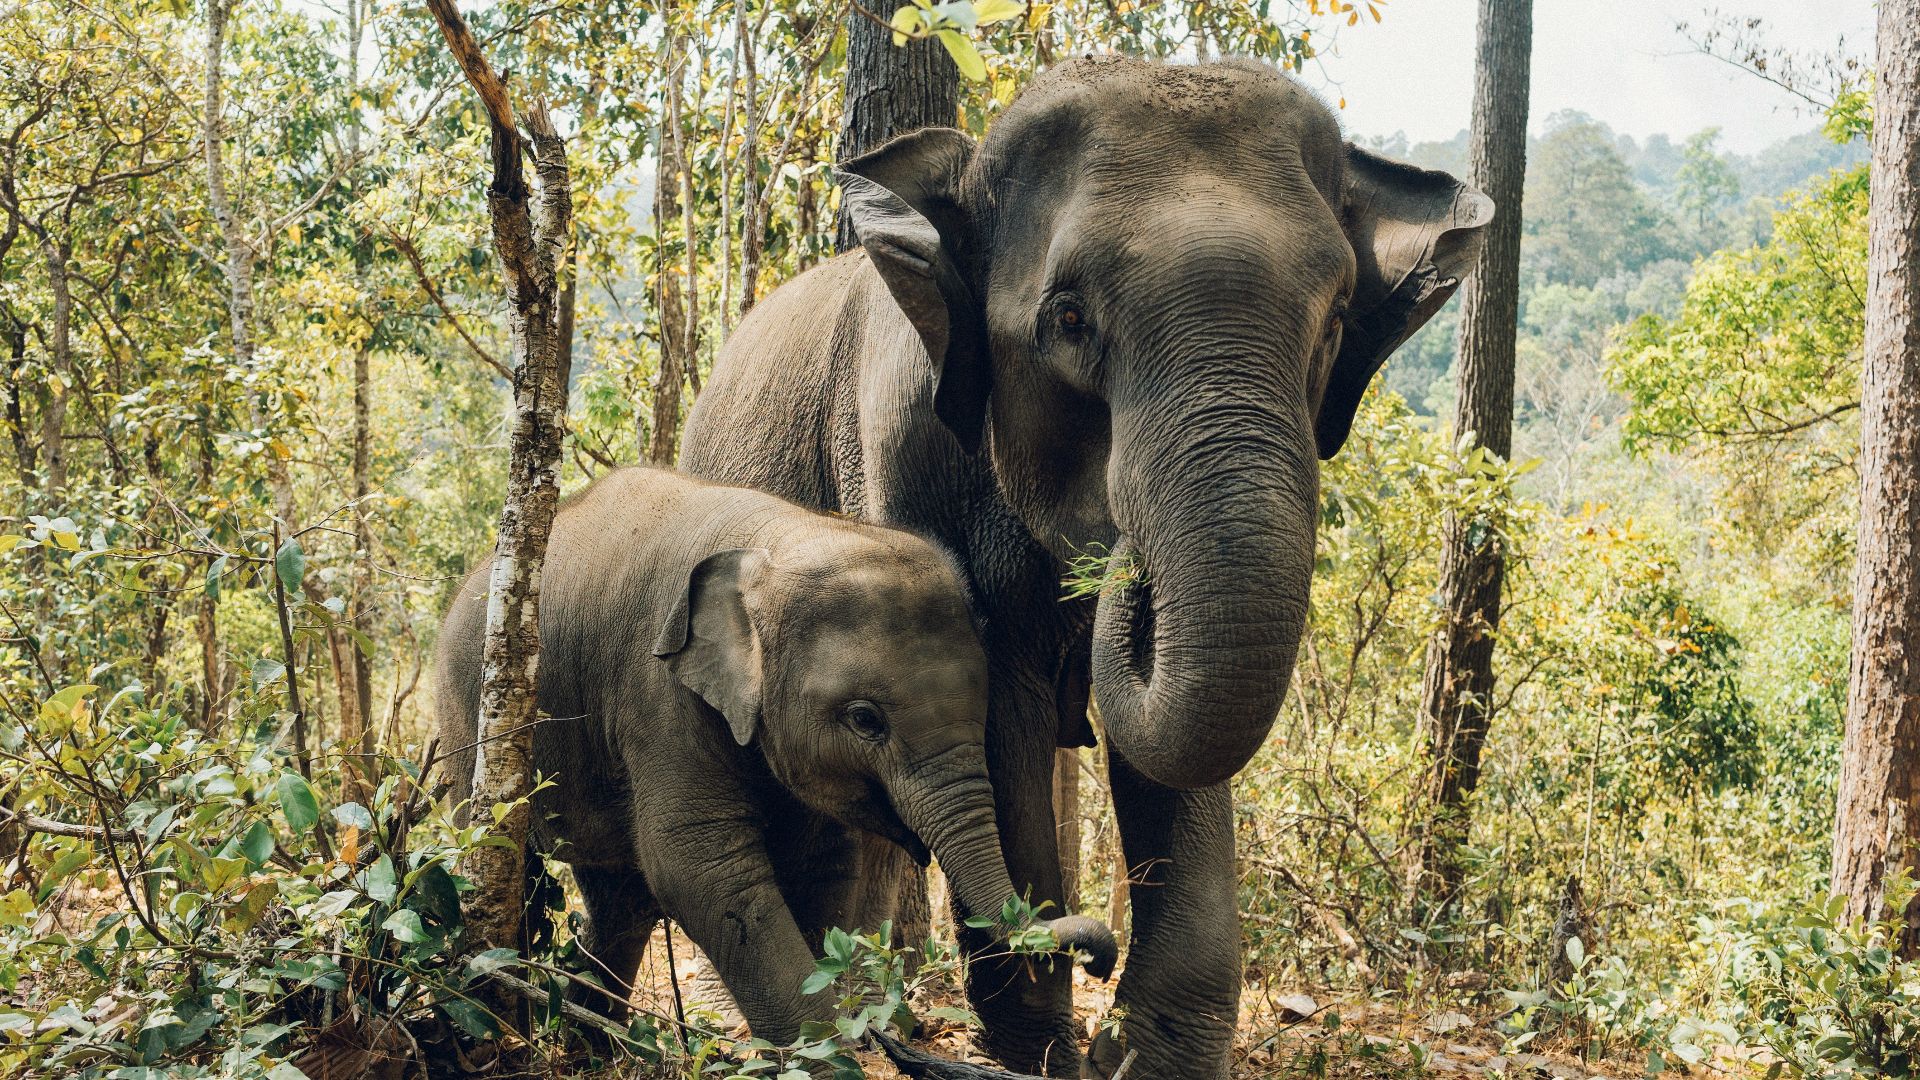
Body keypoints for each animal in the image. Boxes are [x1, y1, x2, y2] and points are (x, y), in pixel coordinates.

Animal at [434, 467, 1117, 1050]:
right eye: (864, 719)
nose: (1099, 960)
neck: (778, 538)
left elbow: (823, 866)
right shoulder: (659, 692)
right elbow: (698, 865)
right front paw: (822, 1052)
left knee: (621, 899)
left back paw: (596, 1047)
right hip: (469, 718)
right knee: (508, 865)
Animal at [677, 56, 1491, 1077]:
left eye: (1339, 322)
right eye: (1068, 319)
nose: (1123, 564)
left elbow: (1177, 746)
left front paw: (1136, 1057)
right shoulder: (902, 457)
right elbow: (1002, 715)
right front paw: (1055, 1050)